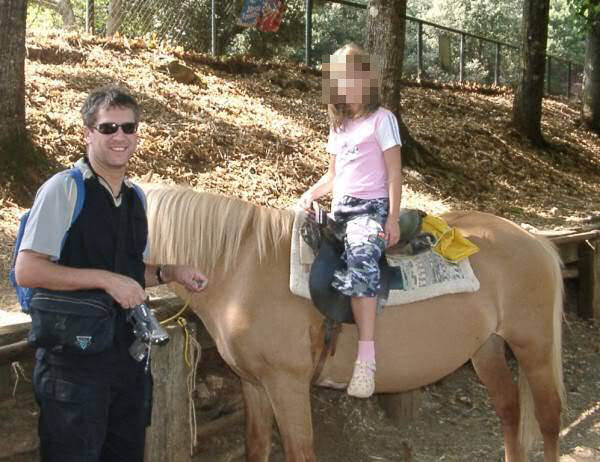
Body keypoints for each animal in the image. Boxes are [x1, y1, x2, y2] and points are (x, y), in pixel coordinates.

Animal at [144, 185, 566, 462]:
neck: (243, 268)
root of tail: (534, 239)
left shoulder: (287, 385)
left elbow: (299, 452)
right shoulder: (254, 384)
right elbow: (256, 447)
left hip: (534, 347)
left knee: (547, 417)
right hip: (487, 347)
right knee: (510, 410)